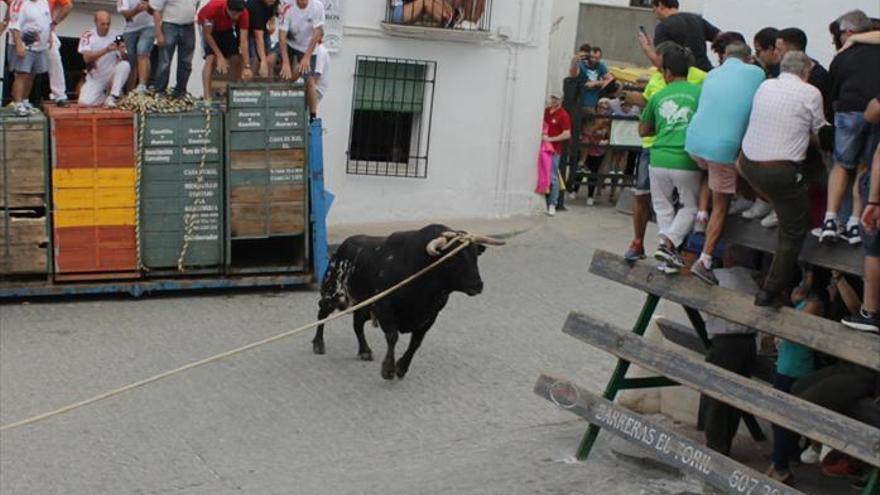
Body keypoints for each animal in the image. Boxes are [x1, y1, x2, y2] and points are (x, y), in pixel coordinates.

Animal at [312, 225, 502, 380]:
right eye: (453, 258)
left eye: (475, 256)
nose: (477, 285)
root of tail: (341, 249)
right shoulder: (384, 307)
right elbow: (393, 336)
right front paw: (388, 369)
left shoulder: (430, 315)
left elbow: (416, 343)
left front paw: (401, 368)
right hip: (333, 293)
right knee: (322, 313)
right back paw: (318, 344)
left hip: (363, 303)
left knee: (357, 323)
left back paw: (364, 350)